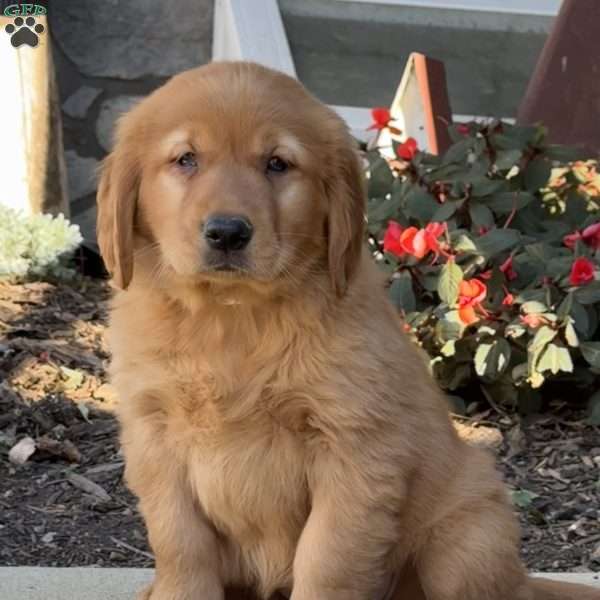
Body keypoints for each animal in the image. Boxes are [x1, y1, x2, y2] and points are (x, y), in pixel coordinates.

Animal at [96, 62, 596, 600]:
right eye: (185, 159)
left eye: (278, 164)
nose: (228, 232)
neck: (232, 317)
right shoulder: (154, 436)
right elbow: (180, 543)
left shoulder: (356, 449)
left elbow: (327, 557)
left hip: (468, 536)